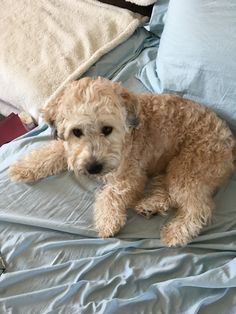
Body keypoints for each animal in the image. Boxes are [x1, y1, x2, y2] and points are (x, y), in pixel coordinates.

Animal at [8, 77, 235, 247]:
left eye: (107, 129)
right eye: (76, 131)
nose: (93, 168)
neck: (128, 135)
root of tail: (230, 141)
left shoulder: (130, 176)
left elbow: (111, 194)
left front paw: (107, 221)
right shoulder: (70, 149)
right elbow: (50, 152)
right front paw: (22, 167)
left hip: (187, 170)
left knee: (199, 208)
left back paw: (176, 232)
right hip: (171, 169)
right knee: (170, 194)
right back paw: (150, 205)